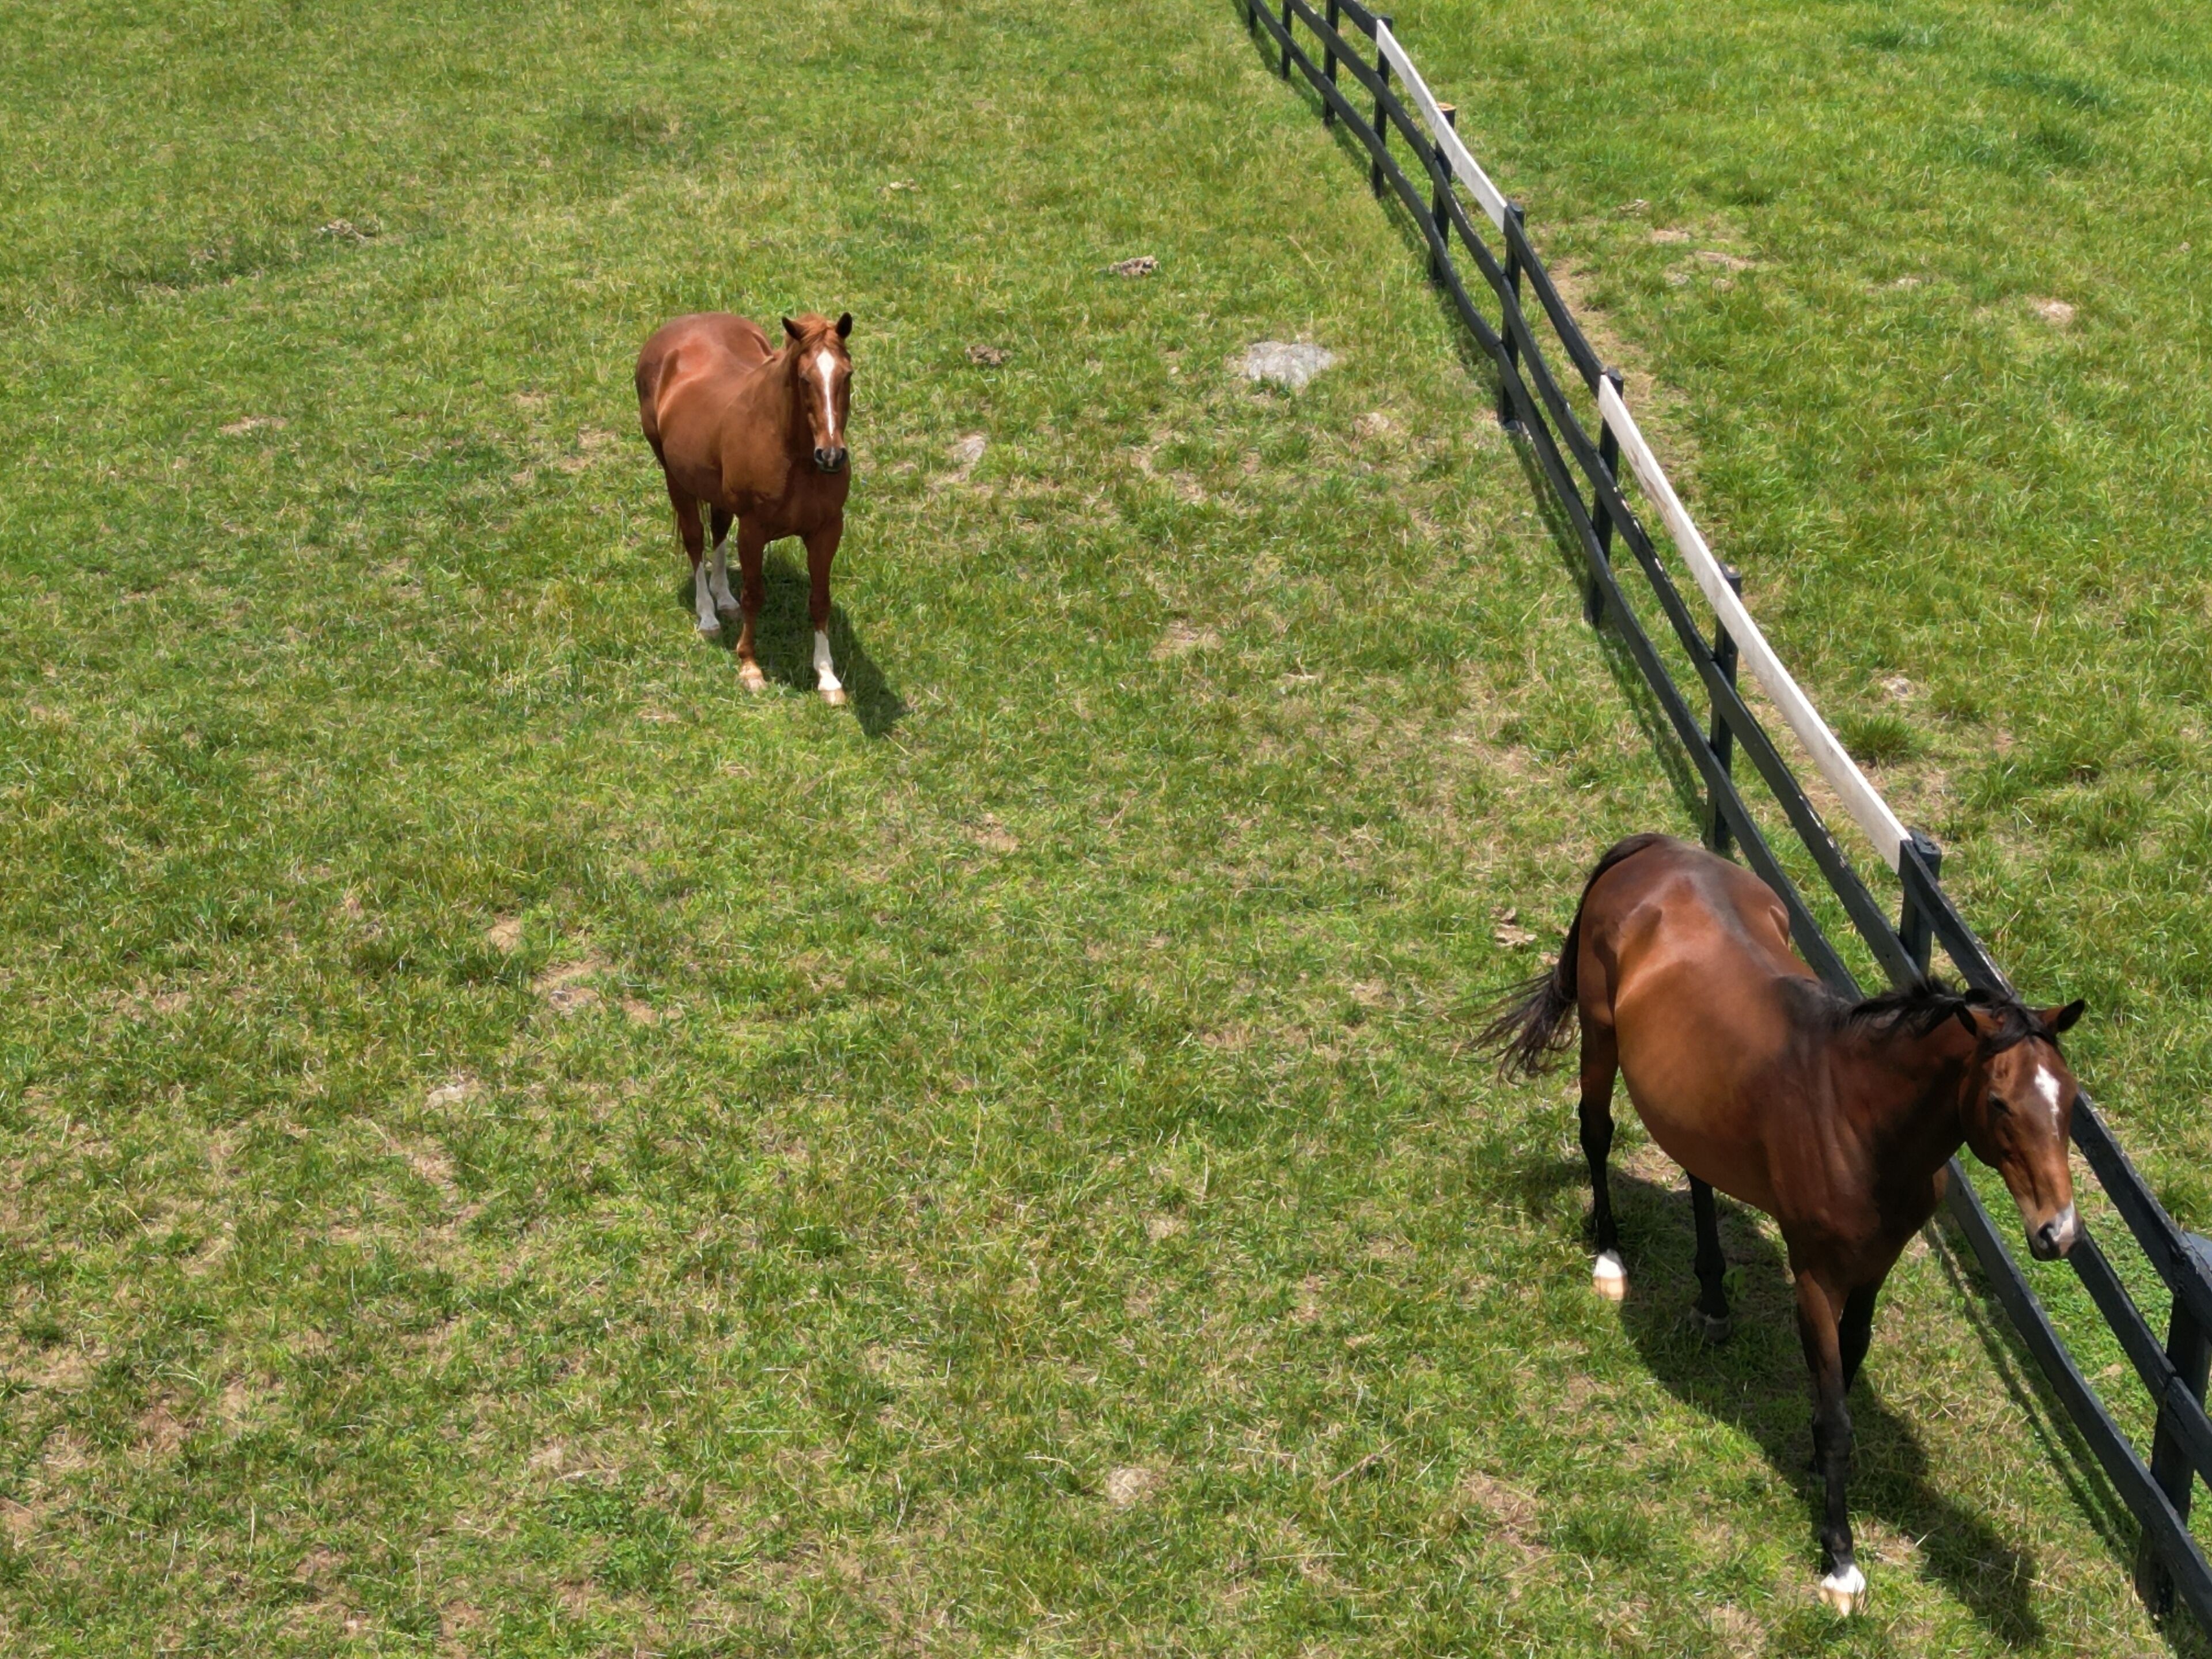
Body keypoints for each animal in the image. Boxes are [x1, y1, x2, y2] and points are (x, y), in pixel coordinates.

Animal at [634, 310, 854, 703]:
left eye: (847, 374)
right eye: (804, 379)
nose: (831, 456)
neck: (794, 456)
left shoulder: (826, 530)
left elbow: (820, 600)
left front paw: (828, 678)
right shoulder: (754, 531)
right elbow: (755, 596)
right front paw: (750, 667)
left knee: (719, 532)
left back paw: (725, 600)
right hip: (675, 479)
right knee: (695, 541)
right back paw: (708, 617)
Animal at [1478, 832, 2084, 1615]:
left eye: (2070, 1100)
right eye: (2003, 1105)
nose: (2057, 1234)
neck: (1856, 1113)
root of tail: (1657, 848)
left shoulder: (1874, 1269)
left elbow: (1847, 1372)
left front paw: (1814, 1467)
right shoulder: (1817, 1280)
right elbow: (1837, 1419)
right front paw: (1840, 1560)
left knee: (1697, 1169)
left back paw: (1712, 1300)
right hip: (1600, 1036)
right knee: (1597, 1133)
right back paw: (1610, 1259)